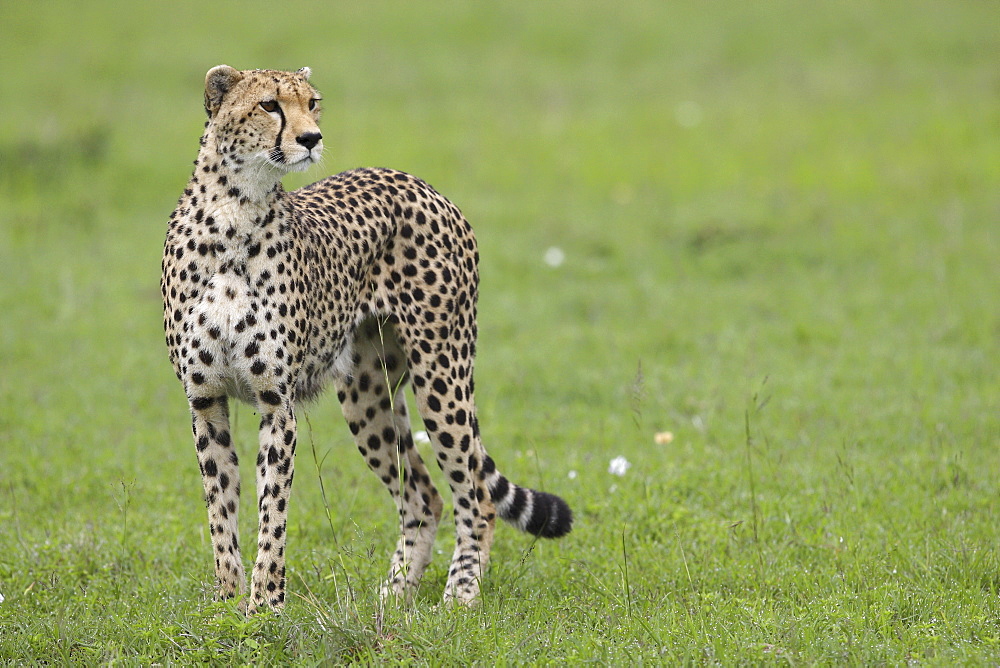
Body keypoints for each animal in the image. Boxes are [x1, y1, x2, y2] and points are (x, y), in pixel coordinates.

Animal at [161, 66, 576, 612]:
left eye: (312, 103)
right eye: (270, 105)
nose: (311, 138)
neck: (234, 211)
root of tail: (417, 182)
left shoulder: (277, 403)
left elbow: (272, 512)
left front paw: (265, 605)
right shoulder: (205, 400)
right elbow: (220, 509)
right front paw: (227, 602)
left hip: (441, 373)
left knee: (476, 496)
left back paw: (460, 592)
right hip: (367, 395)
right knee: (424, 497)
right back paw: (393, 597)